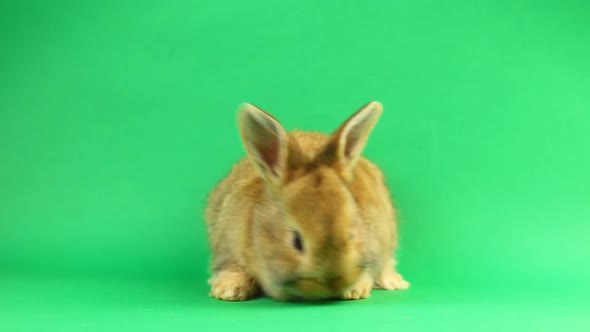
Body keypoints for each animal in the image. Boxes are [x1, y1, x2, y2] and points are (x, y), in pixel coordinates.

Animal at [206, 101, 410, 300]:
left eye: (351, 234)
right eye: (296, 241)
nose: (331, 285)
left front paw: (355, 290)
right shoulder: (226, 245)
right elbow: (231, 267)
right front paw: (229, 291)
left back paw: (395, 282)